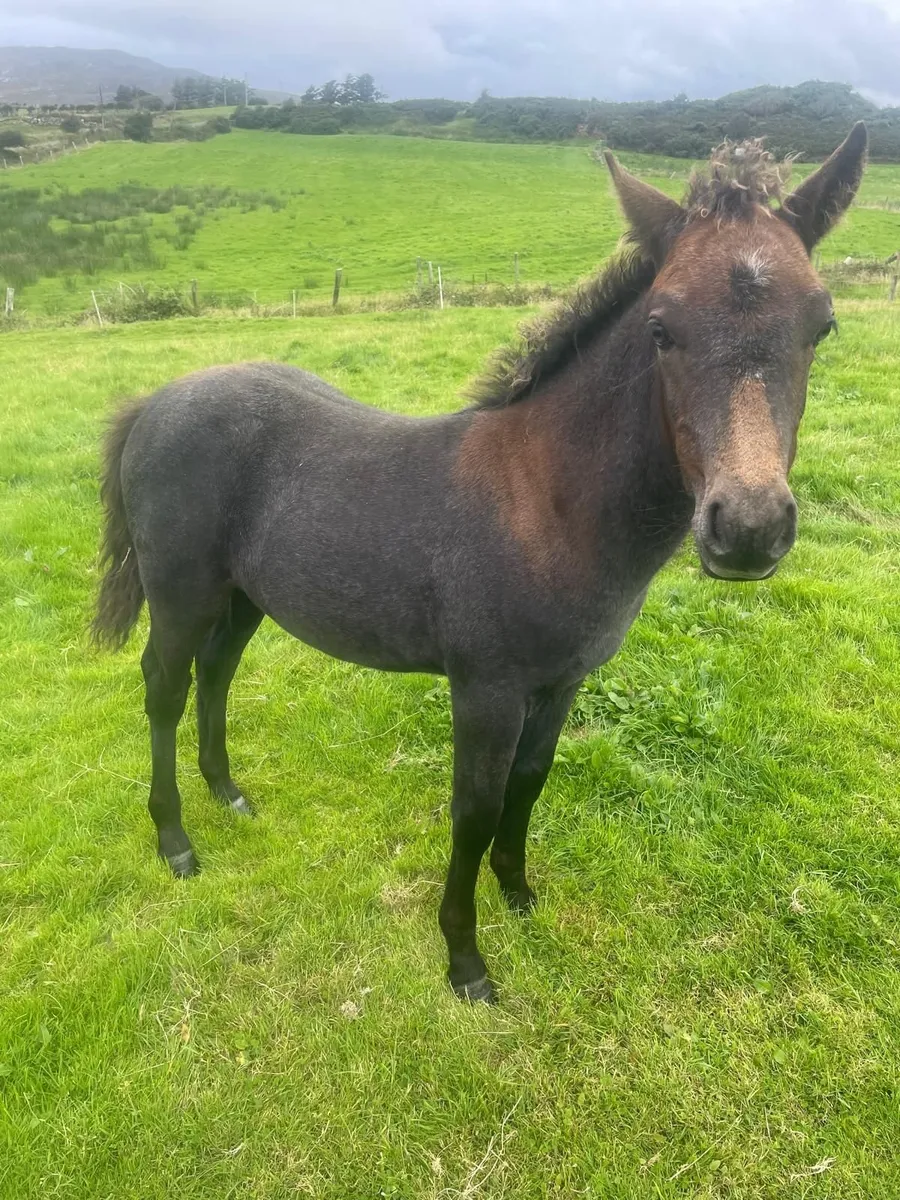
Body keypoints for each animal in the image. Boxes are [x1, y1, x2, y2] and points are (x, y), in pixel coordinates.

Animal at [93, 126, 867, 1003]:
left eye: (821, 325)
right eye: (661, 327)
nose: (747, 527)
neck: (548, 503)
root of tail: (154, 402)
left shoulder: (561, 683)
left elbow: (529, 784)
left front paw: (519, 893)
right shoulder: (486, 689)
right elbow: (474, 806)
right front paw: (466, 961)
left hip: (243, 595)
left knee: (217, 674)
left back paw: (228, 793)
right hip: (179, 590)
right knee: (165, 688)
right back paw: (176, 839)